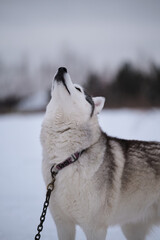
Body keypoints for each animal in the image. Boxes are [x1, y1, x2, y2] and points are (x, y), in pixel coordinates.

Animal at [41, 66, 160, 239]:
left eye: (78, 89)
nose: (62, 68)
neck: (67, 159)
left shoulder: (95, 228)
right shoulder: (63, 224)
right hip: (131, 228)